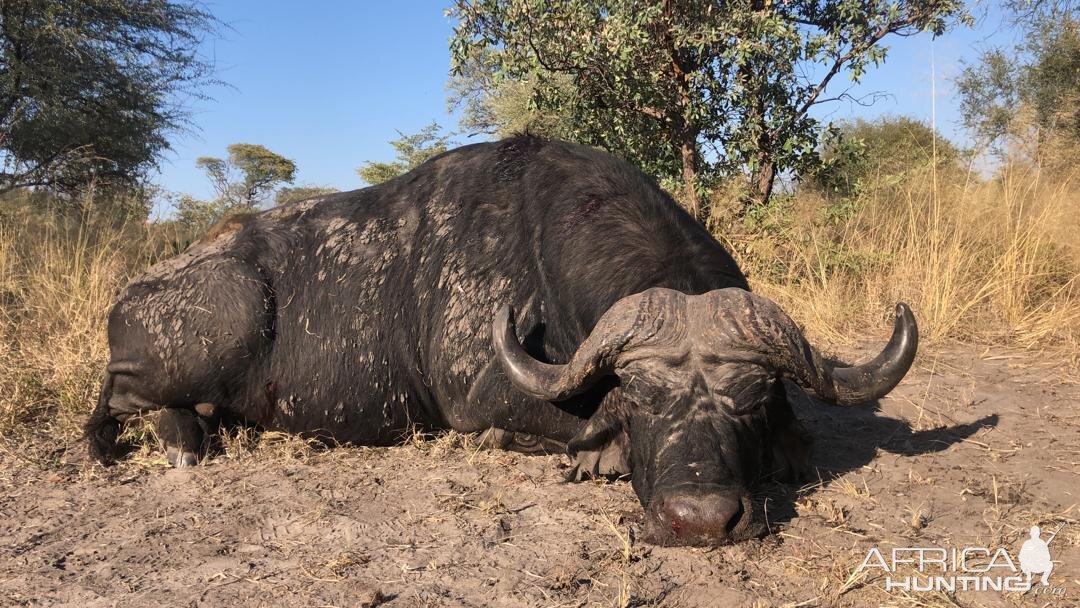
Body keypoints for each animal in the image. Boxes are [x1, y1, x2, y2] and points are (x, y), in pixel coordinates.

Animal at [86, 136, 920, 546]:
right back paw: (178, 438)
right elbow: (574, 423)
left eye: (749, 400)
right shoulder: (482, 394)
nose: (702, 520)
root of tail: (130, 295)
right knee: (125, 399)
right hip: (226, 314)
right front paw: (594, 452)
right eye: (640, 400)